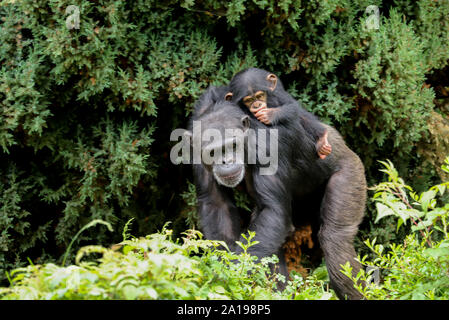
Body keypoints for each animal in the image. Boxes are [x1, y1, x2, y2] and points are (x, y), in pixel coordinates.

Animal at [184, 85, 366, 300]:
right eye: (213, 152)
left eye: (232, 145)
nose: (226, 161)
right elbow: (217, 205)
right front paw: (220, 272)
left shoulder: (267, 149)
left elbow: (272, 211)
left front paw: (232, 274)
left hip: (350, 173)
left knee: (335, 238)